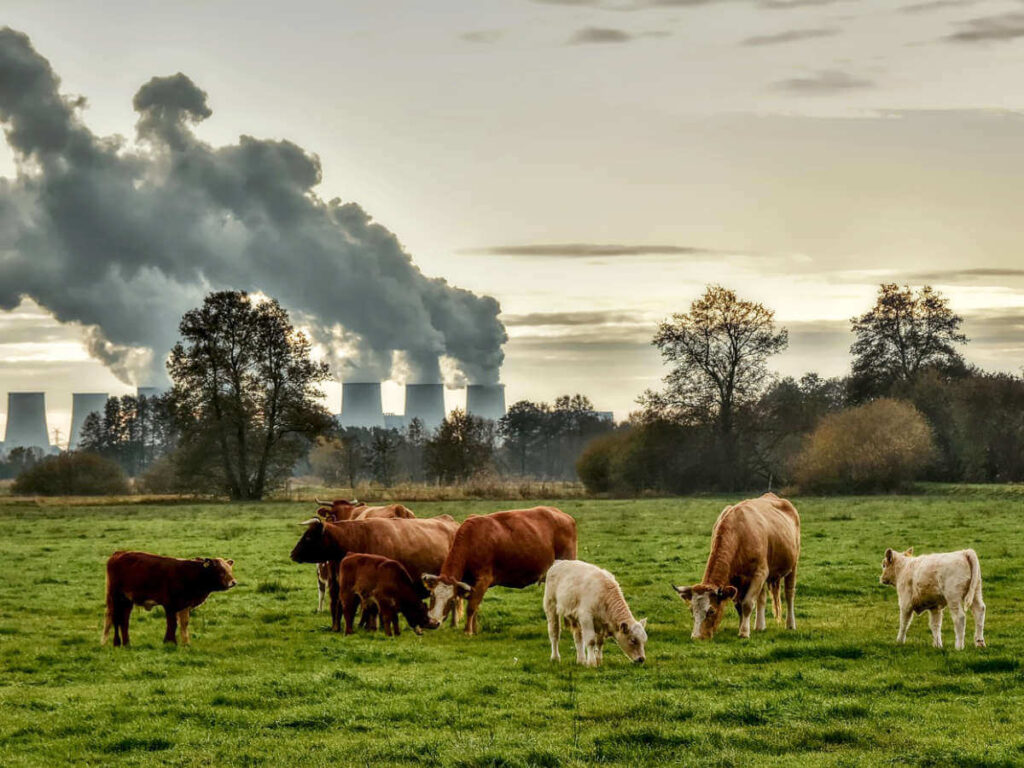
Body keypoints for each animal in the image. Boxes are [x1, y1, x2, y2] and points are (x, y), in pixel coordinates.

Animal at [102, 552, 237, 651]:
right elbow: (172, 624)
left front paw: (186, 644)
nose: (233, 582)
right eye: (220, 571)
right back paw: (116, 643)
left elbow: (184, 623)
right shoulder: (170, 605)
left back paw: (127, 644)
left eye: (230, 570)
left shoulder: (185, 604)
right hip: (116, 598)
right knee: (115, 620)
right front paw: (170, 642)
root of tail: (118, 553)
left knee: (124, 621)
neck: (191, 574)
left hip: (127, 601)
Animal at [415, 505, 577, 638]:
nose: (433, 622)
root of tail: (563, 515)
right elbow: (476, 607)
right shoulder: (472, 584)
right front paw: (475, 629)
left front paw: (467, 631)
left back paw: (569, 627)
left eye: (451, 600)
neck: (471, 540)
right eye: (432, 596)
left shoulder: (484, 580)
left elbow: (471, 607)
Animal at [671, 493, 798, 643]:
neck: (739, 533)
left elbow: (747, 604)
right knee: (761, 598)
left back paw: (790, 624)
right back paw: (759, 626)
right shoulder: (736, 580)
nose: (697, 637)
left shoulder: (760, 573)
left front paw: (744, 632)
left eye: (711, 611)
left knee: (789, 594)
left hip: (792, 566)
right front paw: (742, 627)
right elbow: (739, 605)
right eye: (692, 610)